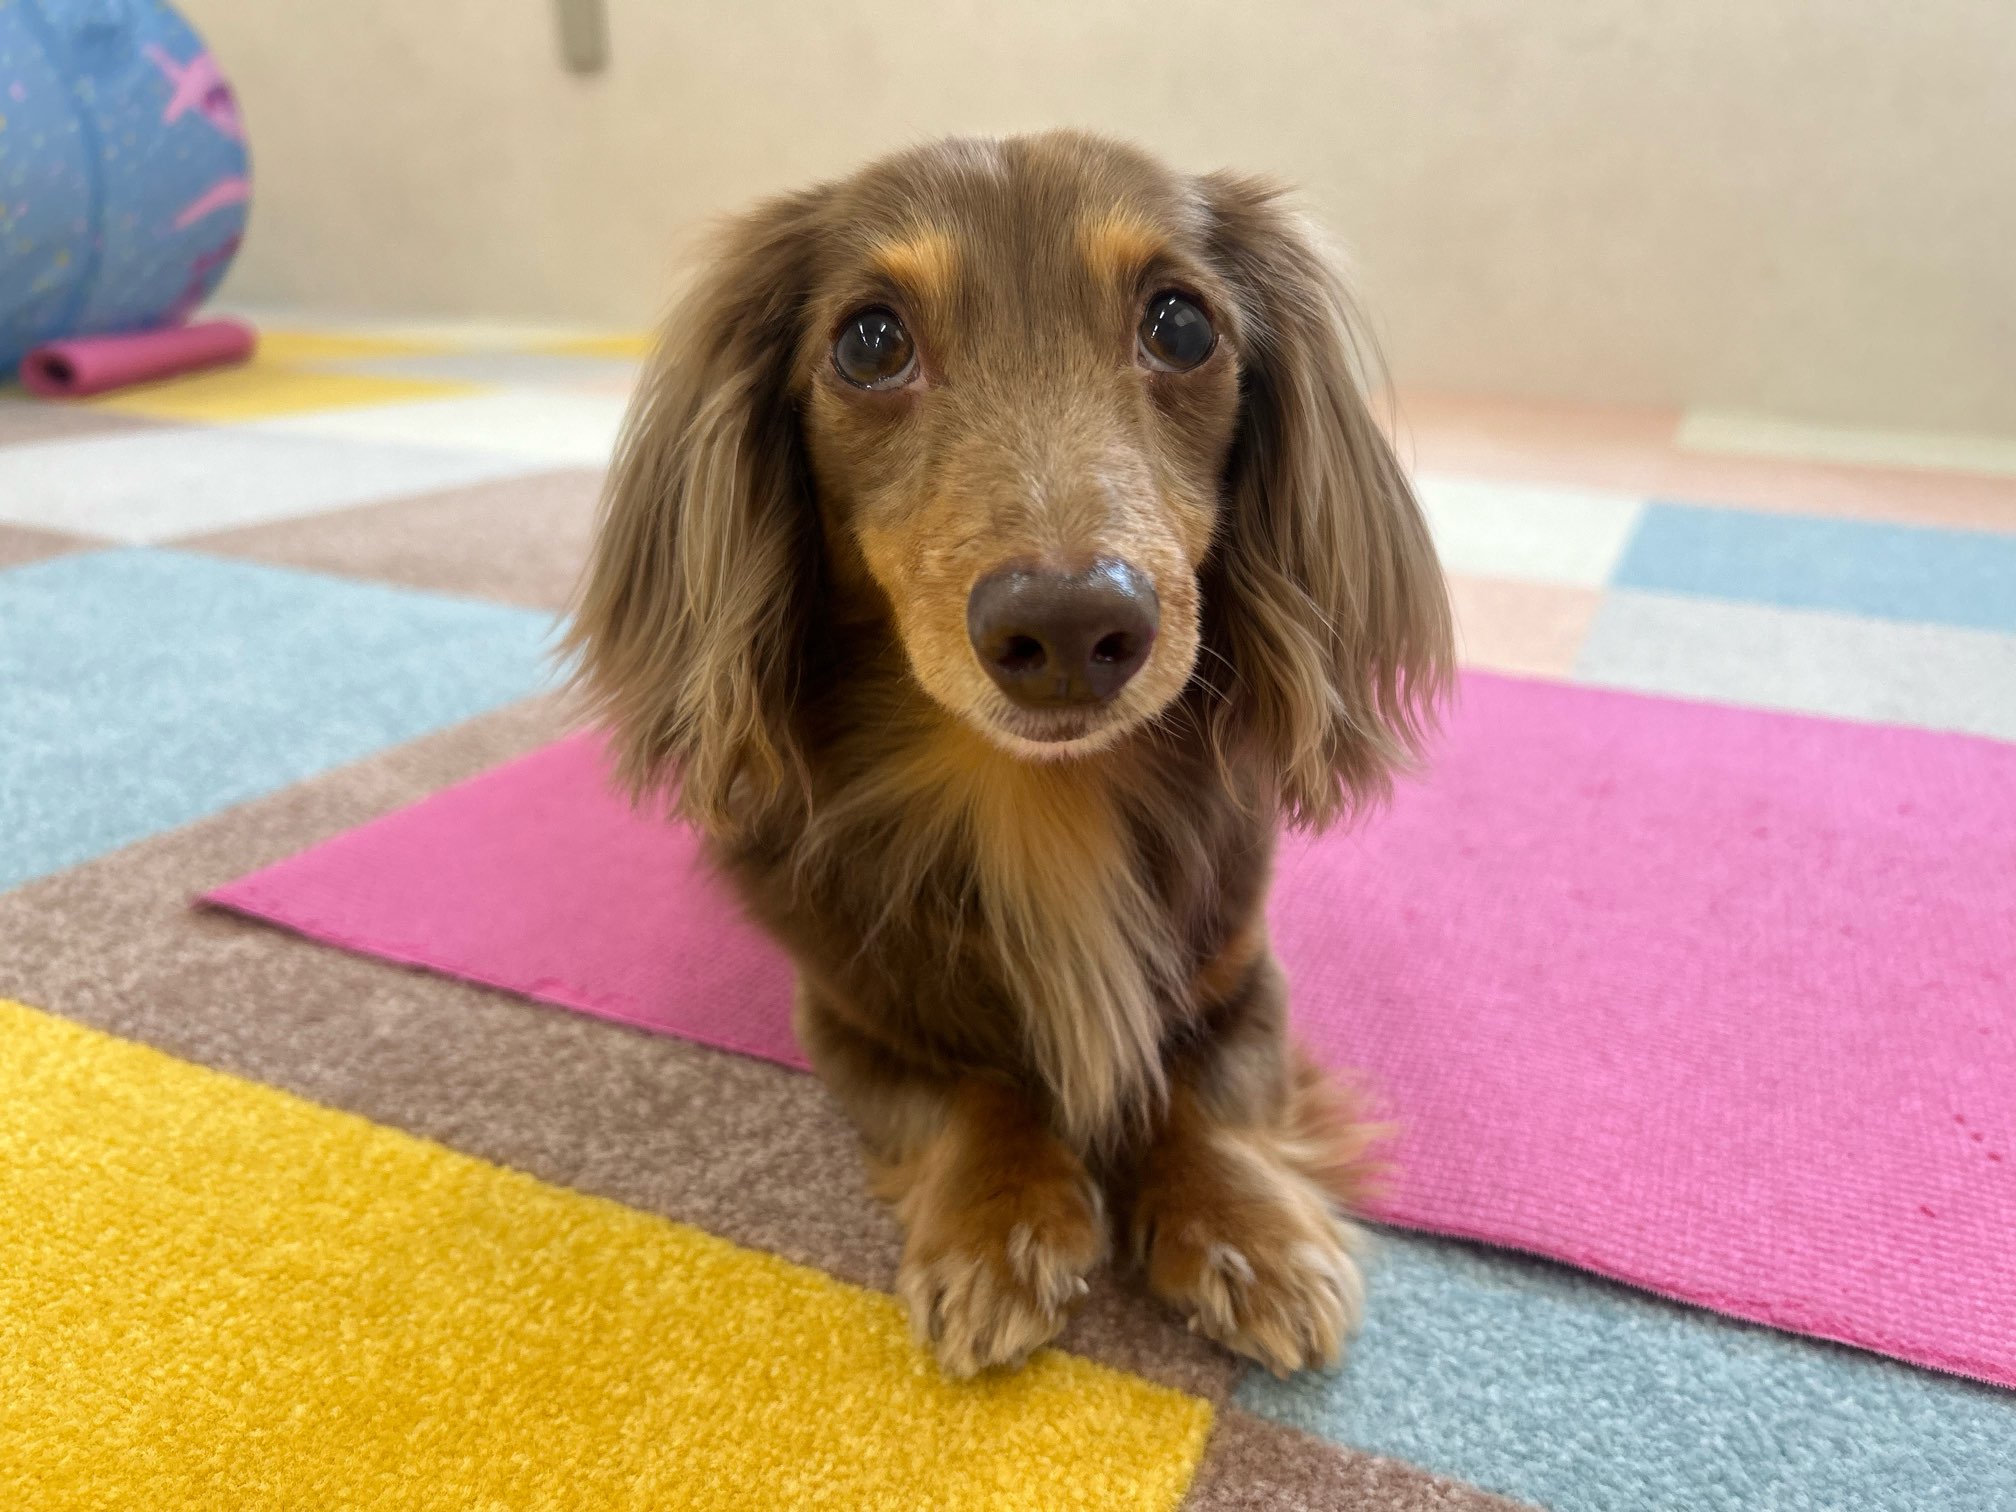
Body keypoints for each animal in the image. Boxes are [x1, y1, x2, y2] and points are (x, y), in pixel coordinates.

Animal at [566, 130, 1452, 1378]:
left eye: (1181, 326)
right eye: (871, 341)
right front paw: (997, 1225)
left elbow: (1217, 1092)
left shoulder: (1241, 969)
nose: (1074, 629)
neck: (1037, 795)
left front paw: (1248, 1231)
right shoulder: (849, 1012)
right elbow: (969, 1088)